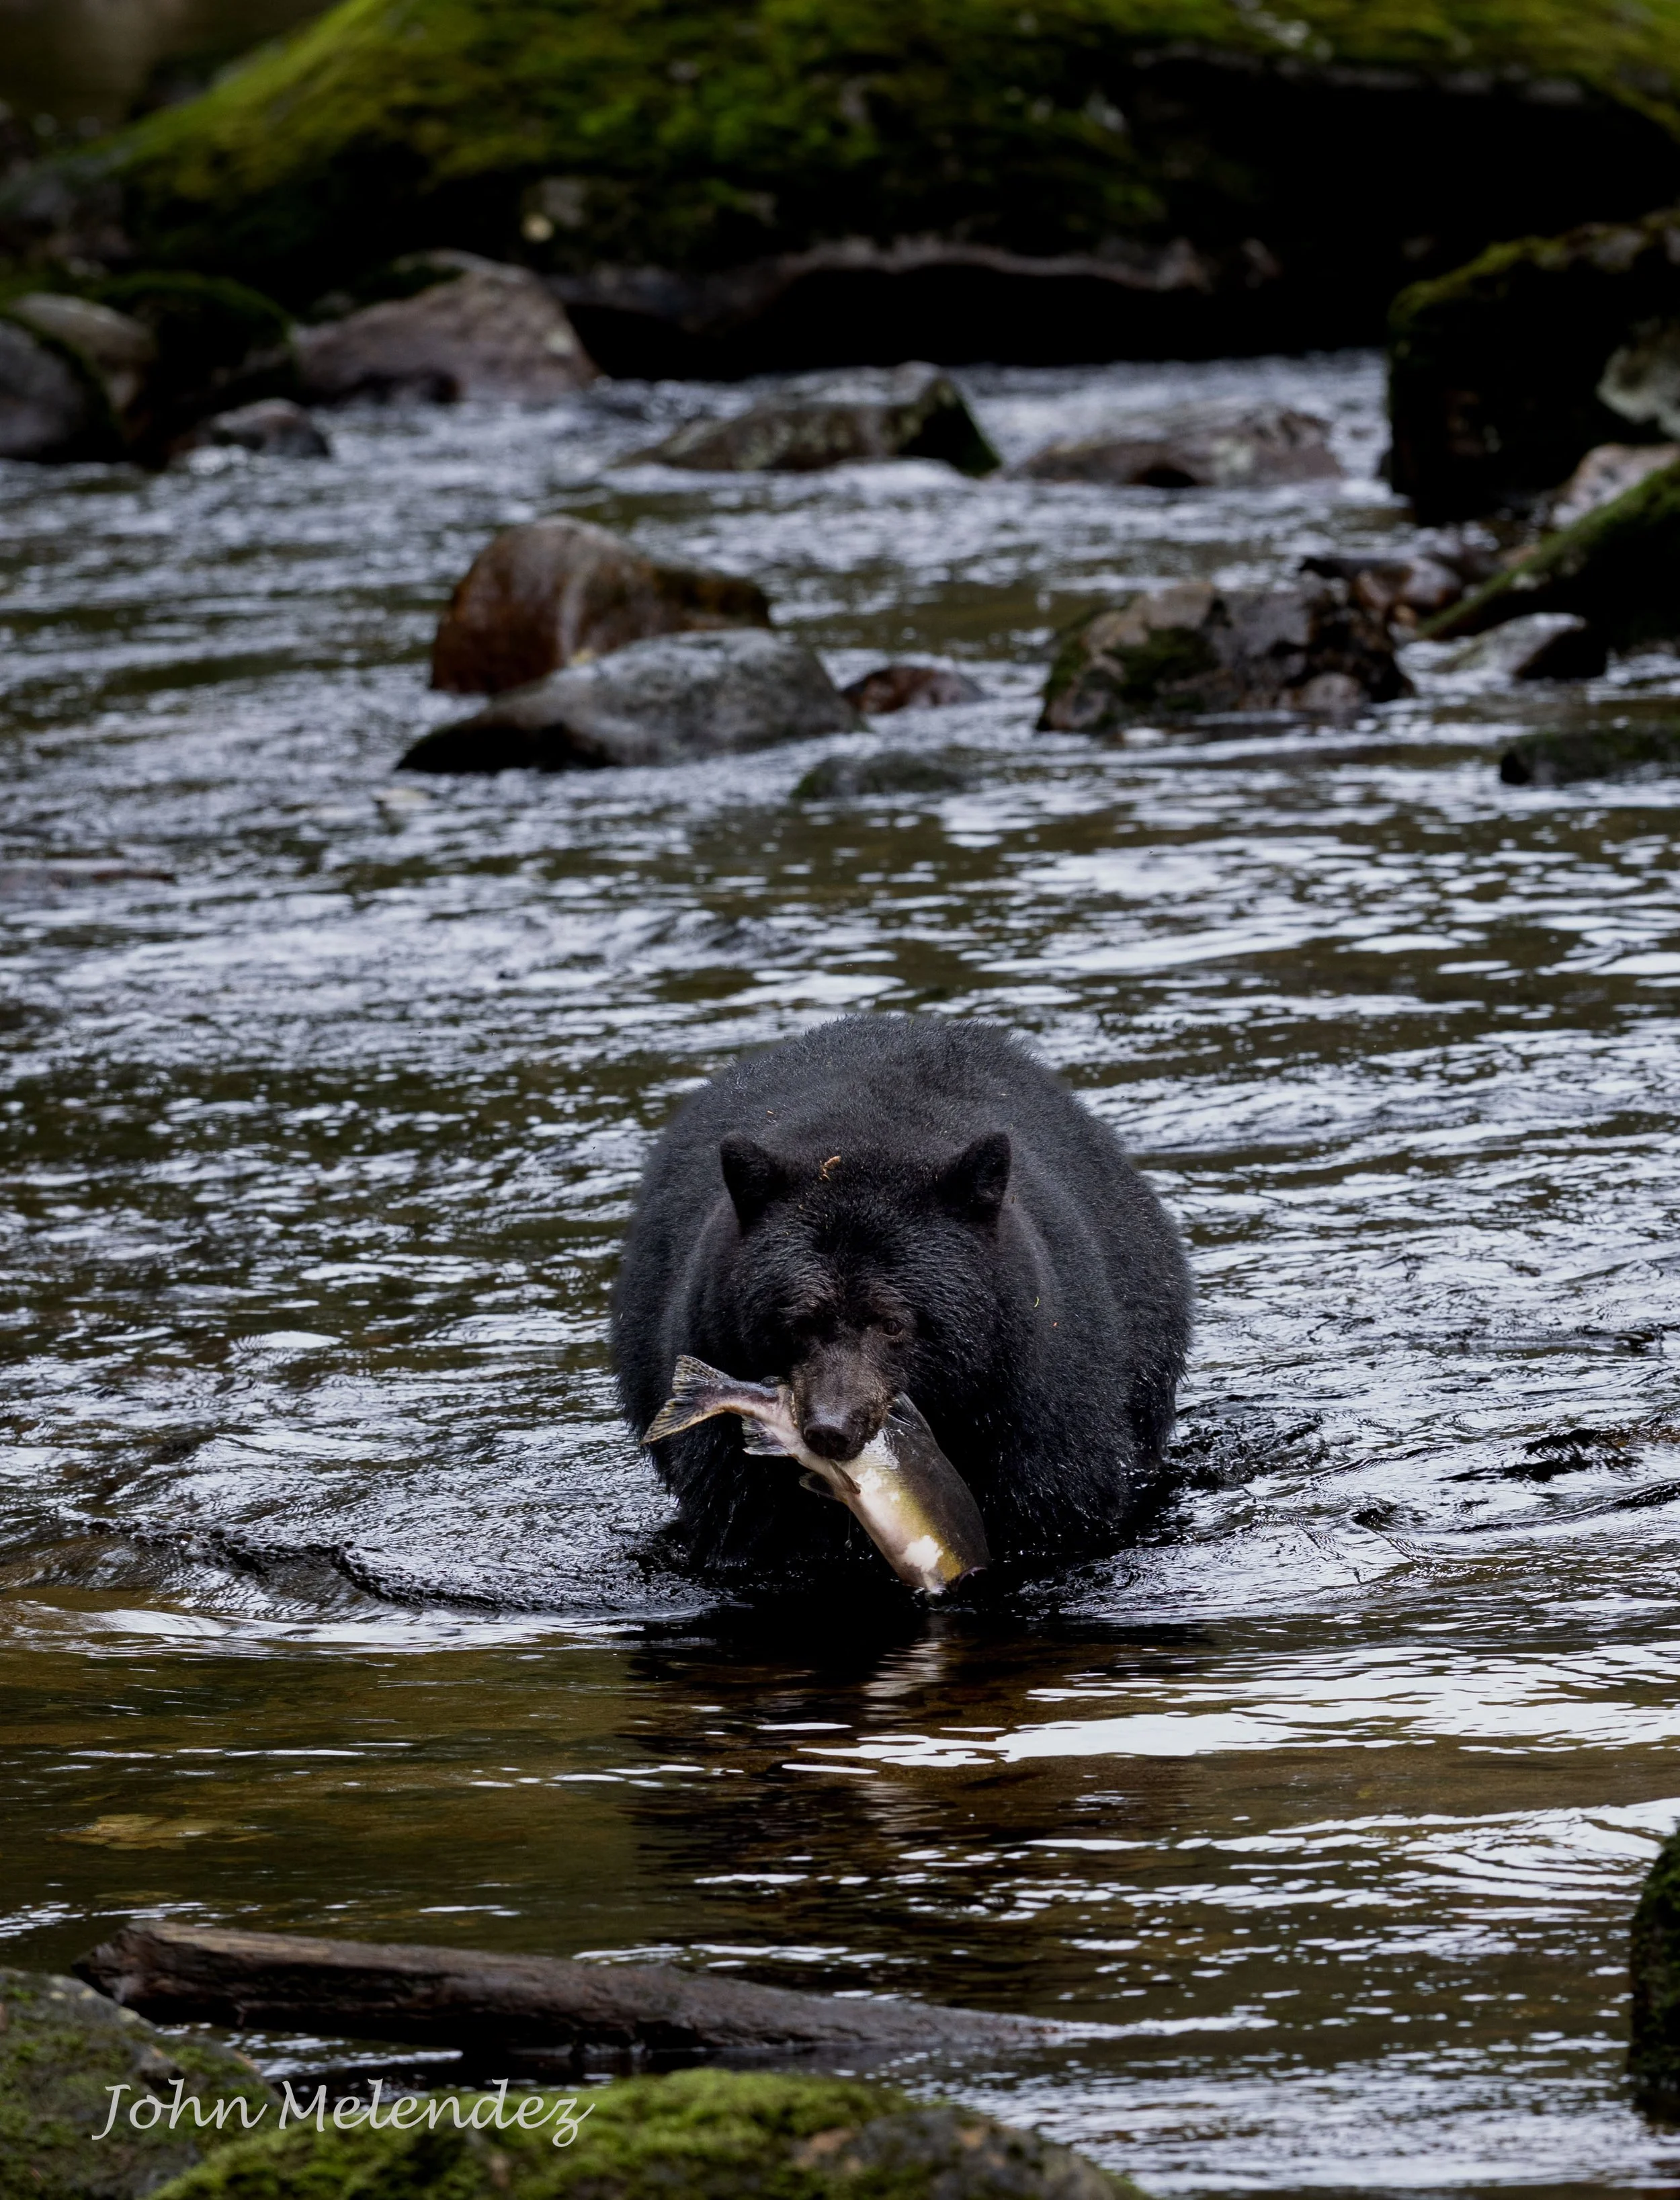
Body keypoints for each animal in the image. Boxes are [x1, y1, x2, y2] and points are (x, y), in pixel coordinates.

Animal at [612, 1014, 1192, 1578]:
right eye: (799, 1322)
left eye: (892, 1323)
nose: (831, 1430)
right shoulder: (713, 1354)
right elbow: (744, 1519)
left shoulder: (1032, 1391)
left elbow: (1057, 1500)